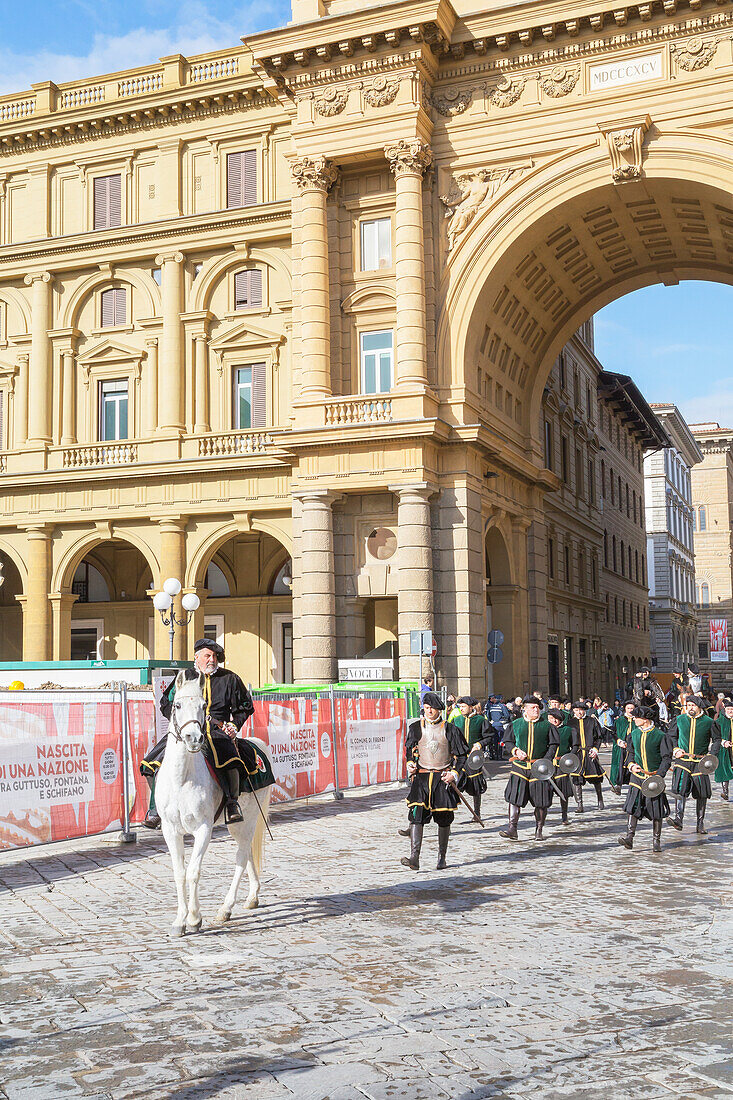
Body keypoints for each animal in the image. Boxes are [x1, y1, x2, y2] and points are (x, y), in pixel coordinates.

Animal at [154, 668, 270, 937]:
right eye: (177, 704)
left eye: (203, 705)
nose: (193, 738)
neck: (182, 779)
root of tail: (257, 746)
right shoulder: (170, 830)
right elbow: (179, 873)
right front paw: (179, 921)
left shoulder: (203, 829)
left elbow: (193, 872)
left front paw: (194, 918)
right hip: (239, 826)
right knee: (247, 852)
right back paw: (252, 897)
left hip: (245, 821)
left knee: (241, 856)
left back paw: (225, 909)